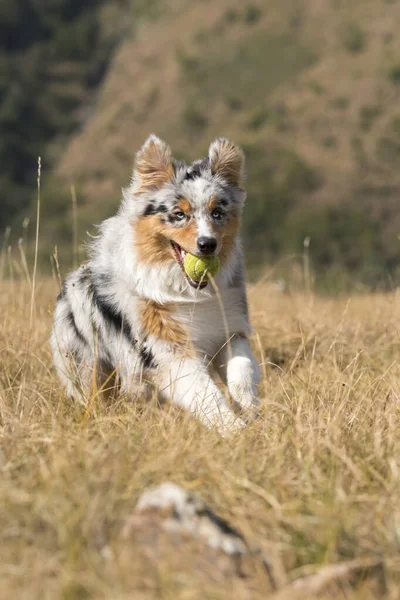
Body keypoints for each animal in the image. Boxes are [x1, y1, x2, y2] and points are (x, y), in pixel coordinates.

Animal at [50, 136, 260, 434]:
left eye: (217, 213)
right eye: (179, 215)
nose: (208, 244)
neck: (189, 292)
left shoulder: (228, 331)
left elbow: (243, 372)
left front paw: (251, 412)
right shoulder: (168, 348)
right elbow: (205, 392)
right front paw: (234, 430)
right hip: (89, 367)